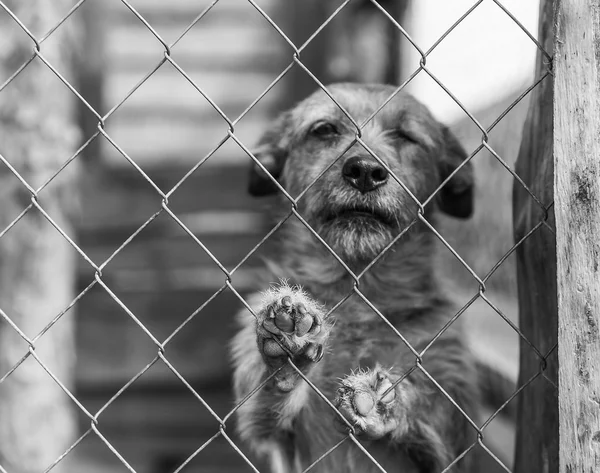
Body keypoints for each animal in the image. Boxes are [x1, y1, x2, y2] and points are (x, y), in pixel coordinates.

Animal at [232, 84, 480, 472]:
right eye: (324, 129)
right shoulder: (270, 438)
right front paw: (286, 354)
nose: (364, 170)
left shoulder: (456, 437)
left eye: (405, 136)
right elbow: (264, 408)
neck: (361, 294)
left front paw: (383, 401)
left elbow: (430, 409)